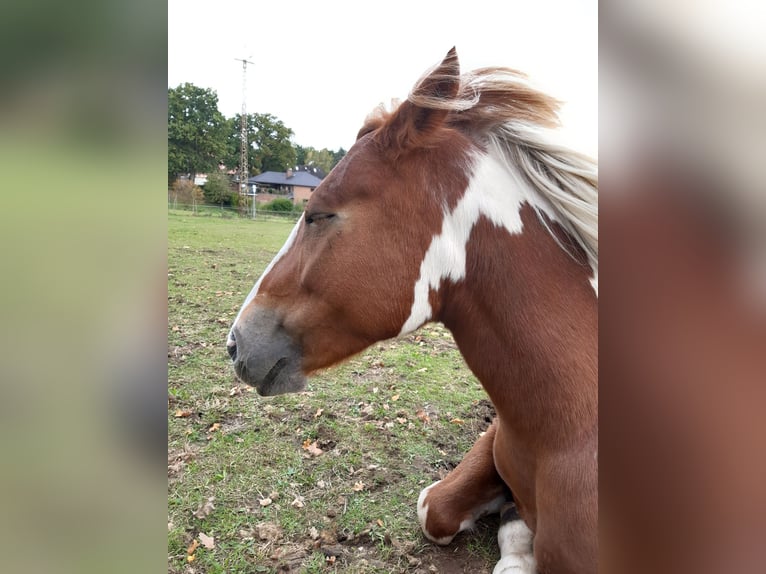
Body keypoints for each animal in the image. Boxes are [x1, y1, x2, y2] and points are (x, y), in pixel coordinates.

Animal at [228, 49, 600, 574]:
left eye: (319, 213)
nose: (235, 342)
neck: (568, 428)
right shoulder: (494, 435)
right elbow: (433, 509)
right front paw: (514, 527)